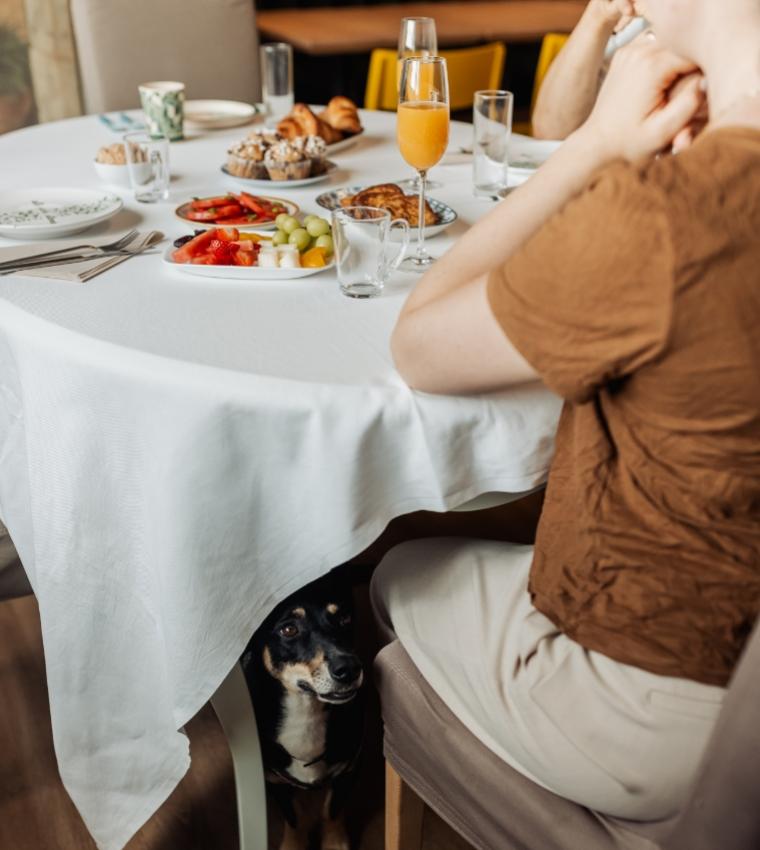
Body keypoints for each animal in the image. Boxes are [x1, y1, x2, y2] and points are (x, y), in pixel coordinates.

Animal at [242, 568, 364, 848]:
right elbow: (294, 818)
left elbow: (331, 811)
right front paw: (293, 844)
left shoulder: (347, 770)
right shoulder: (275, 782)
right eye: (288, 629)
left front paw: (334, 843)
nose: (349, 668)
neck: (306, 713)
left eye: (344, 619)